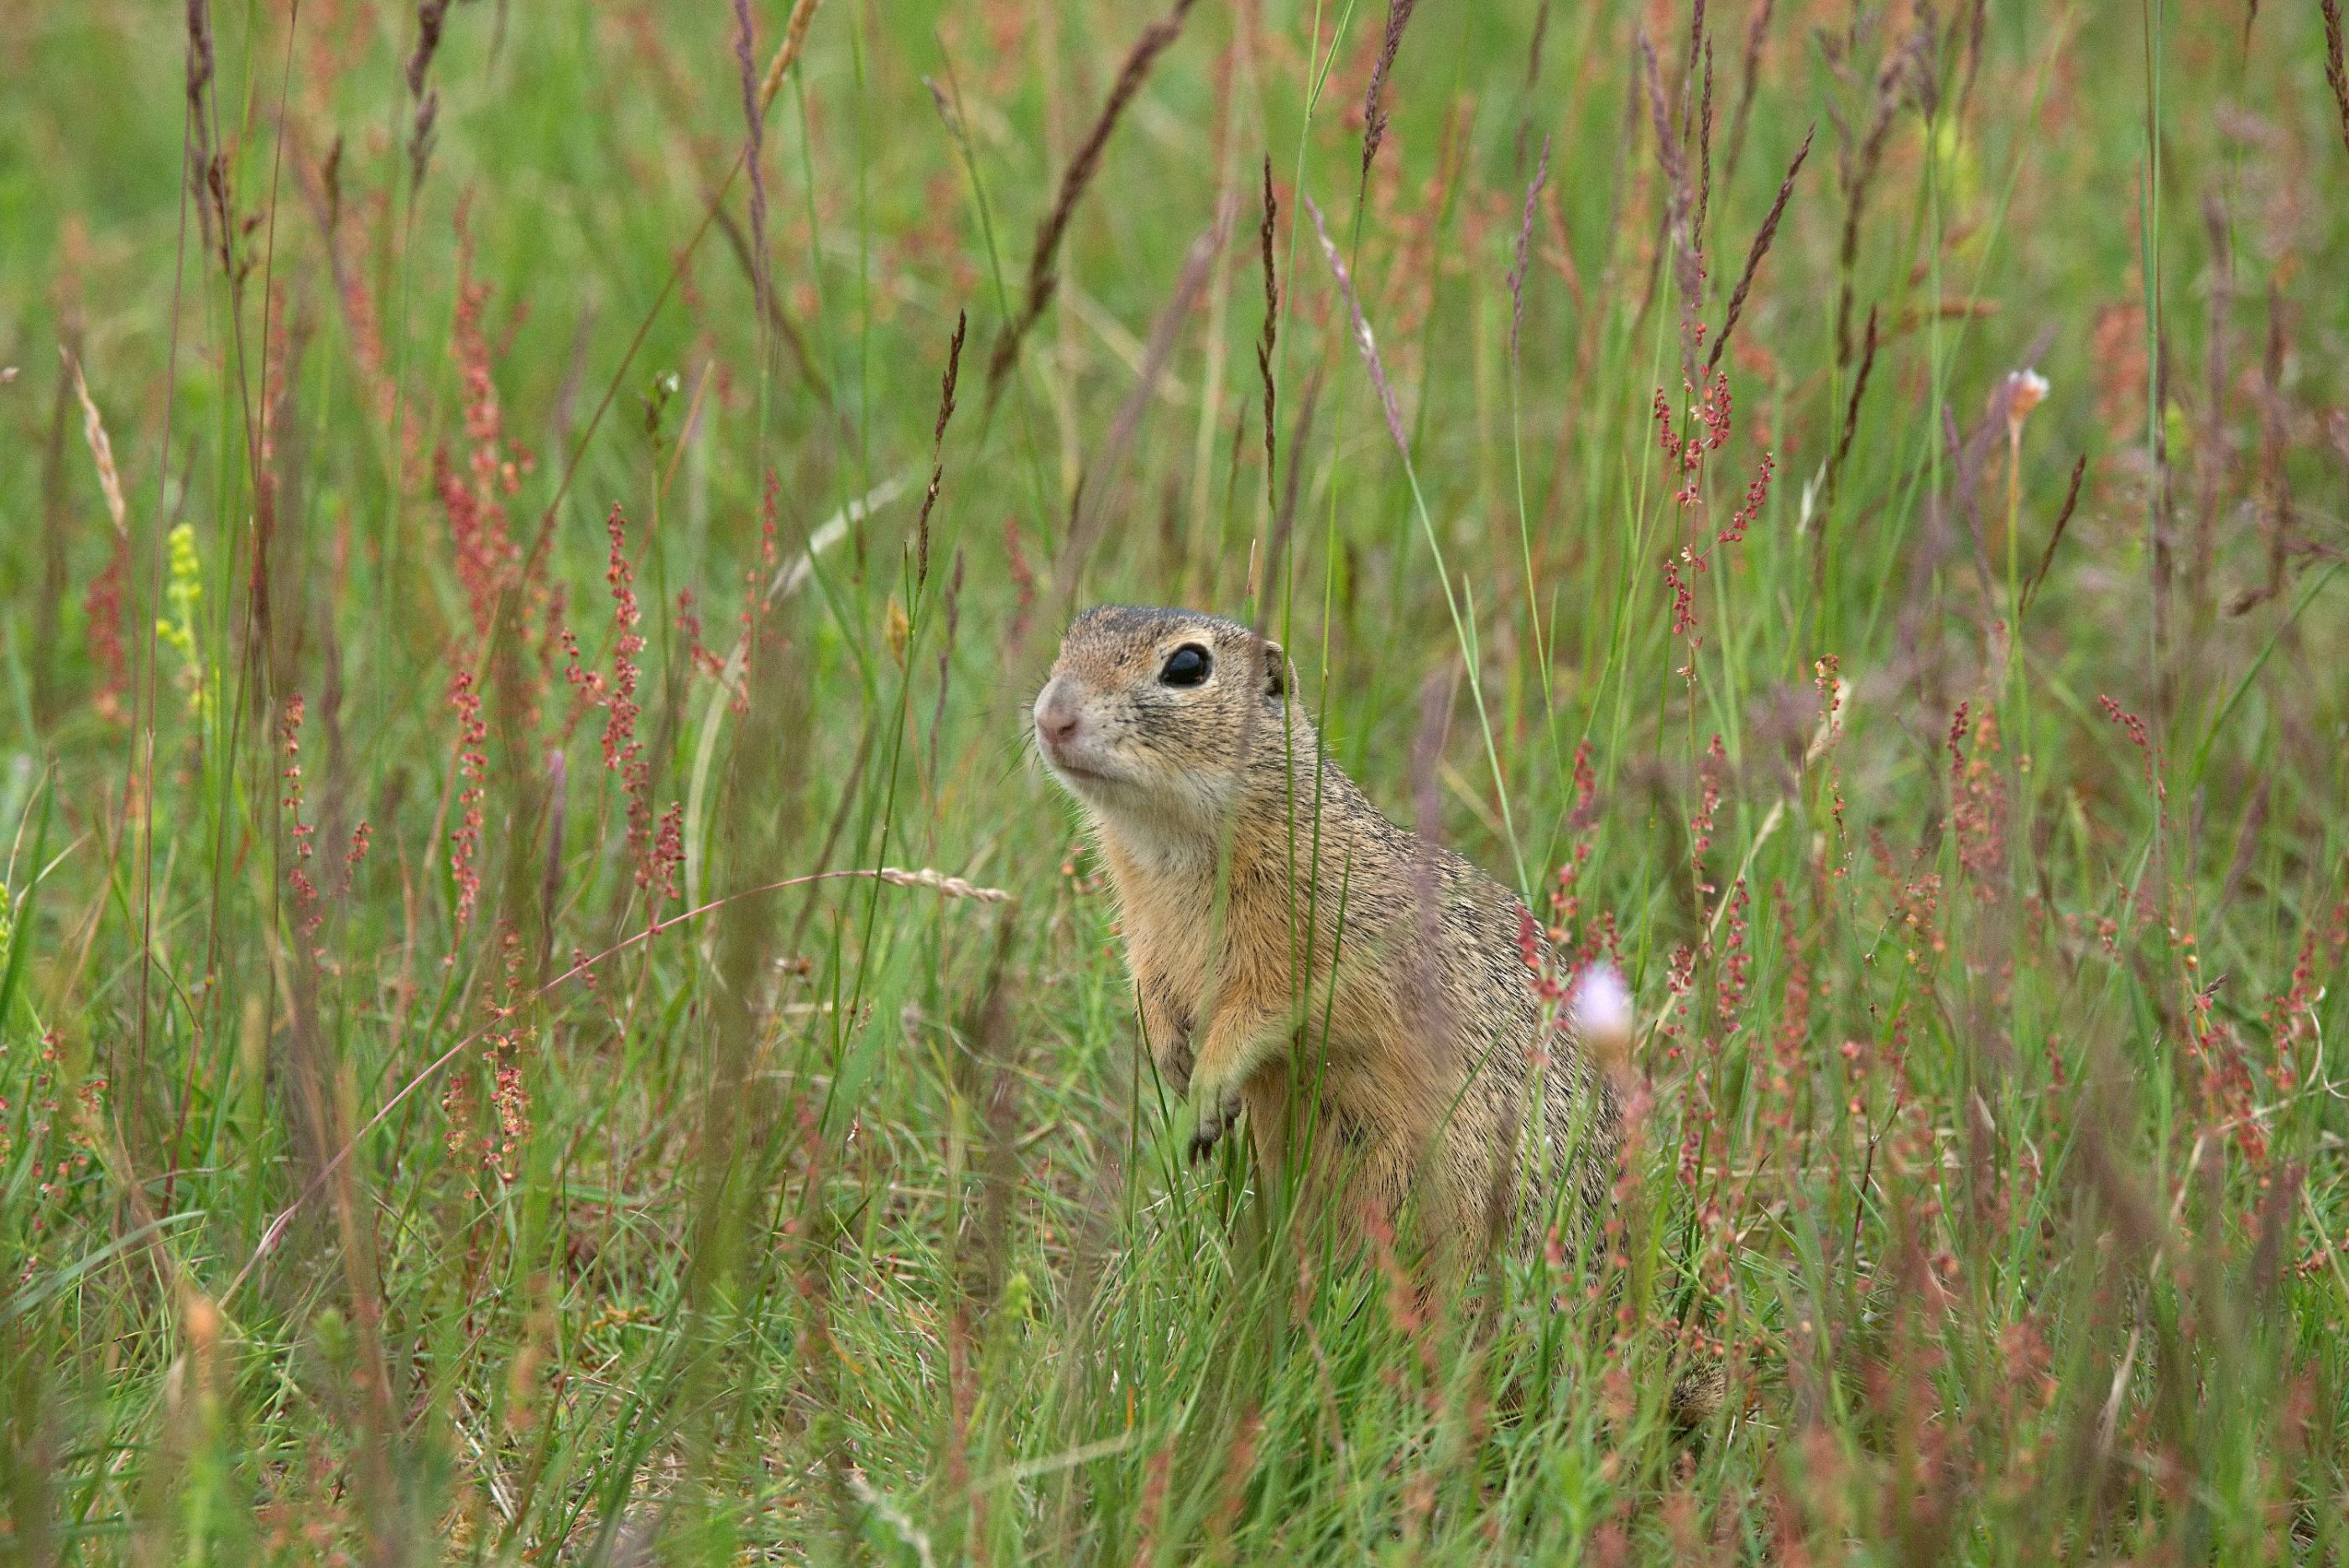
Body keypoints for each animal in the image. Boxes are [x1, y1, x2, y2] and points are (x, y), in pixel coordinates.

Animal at [1038, 605, 1625, 1277]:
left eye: (1187, 666)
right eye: (1071, 636)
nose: (1051, 717)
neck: (1170, 847)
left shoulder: (1324, 951)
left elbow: (1267, 1013)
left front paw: (1208, 1087)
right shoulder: (1147, 937)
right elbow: (1151, 992)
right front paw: (1171, 1061)